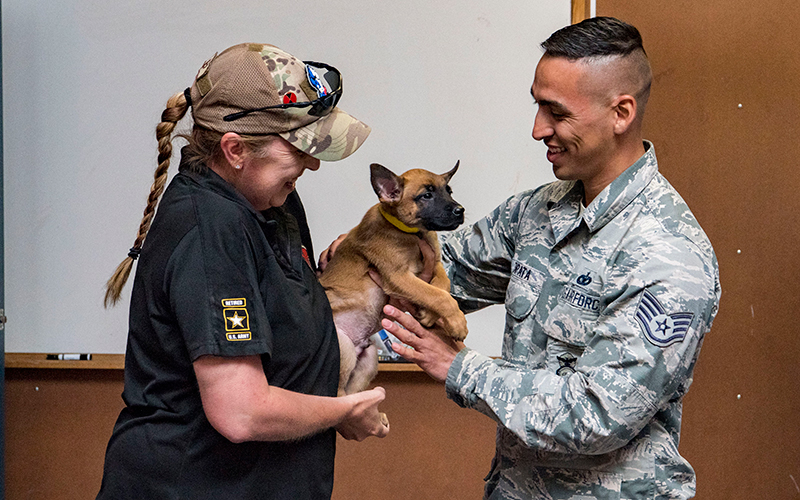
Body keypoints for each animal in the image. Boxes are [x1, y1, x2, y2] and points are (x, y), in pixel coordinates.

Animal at [318, 162, 468, 396]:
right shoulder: (398, 276)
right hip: (345, 349)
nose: (460, 210)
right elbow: (437, 295)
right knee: (339, 393)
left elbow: (443, 285)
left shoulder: (436, 263)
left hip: (369, 359)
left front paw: (429, 315)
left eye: (449, 191)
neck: (412, 233)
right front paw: (457, 322)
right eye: (426, 195)